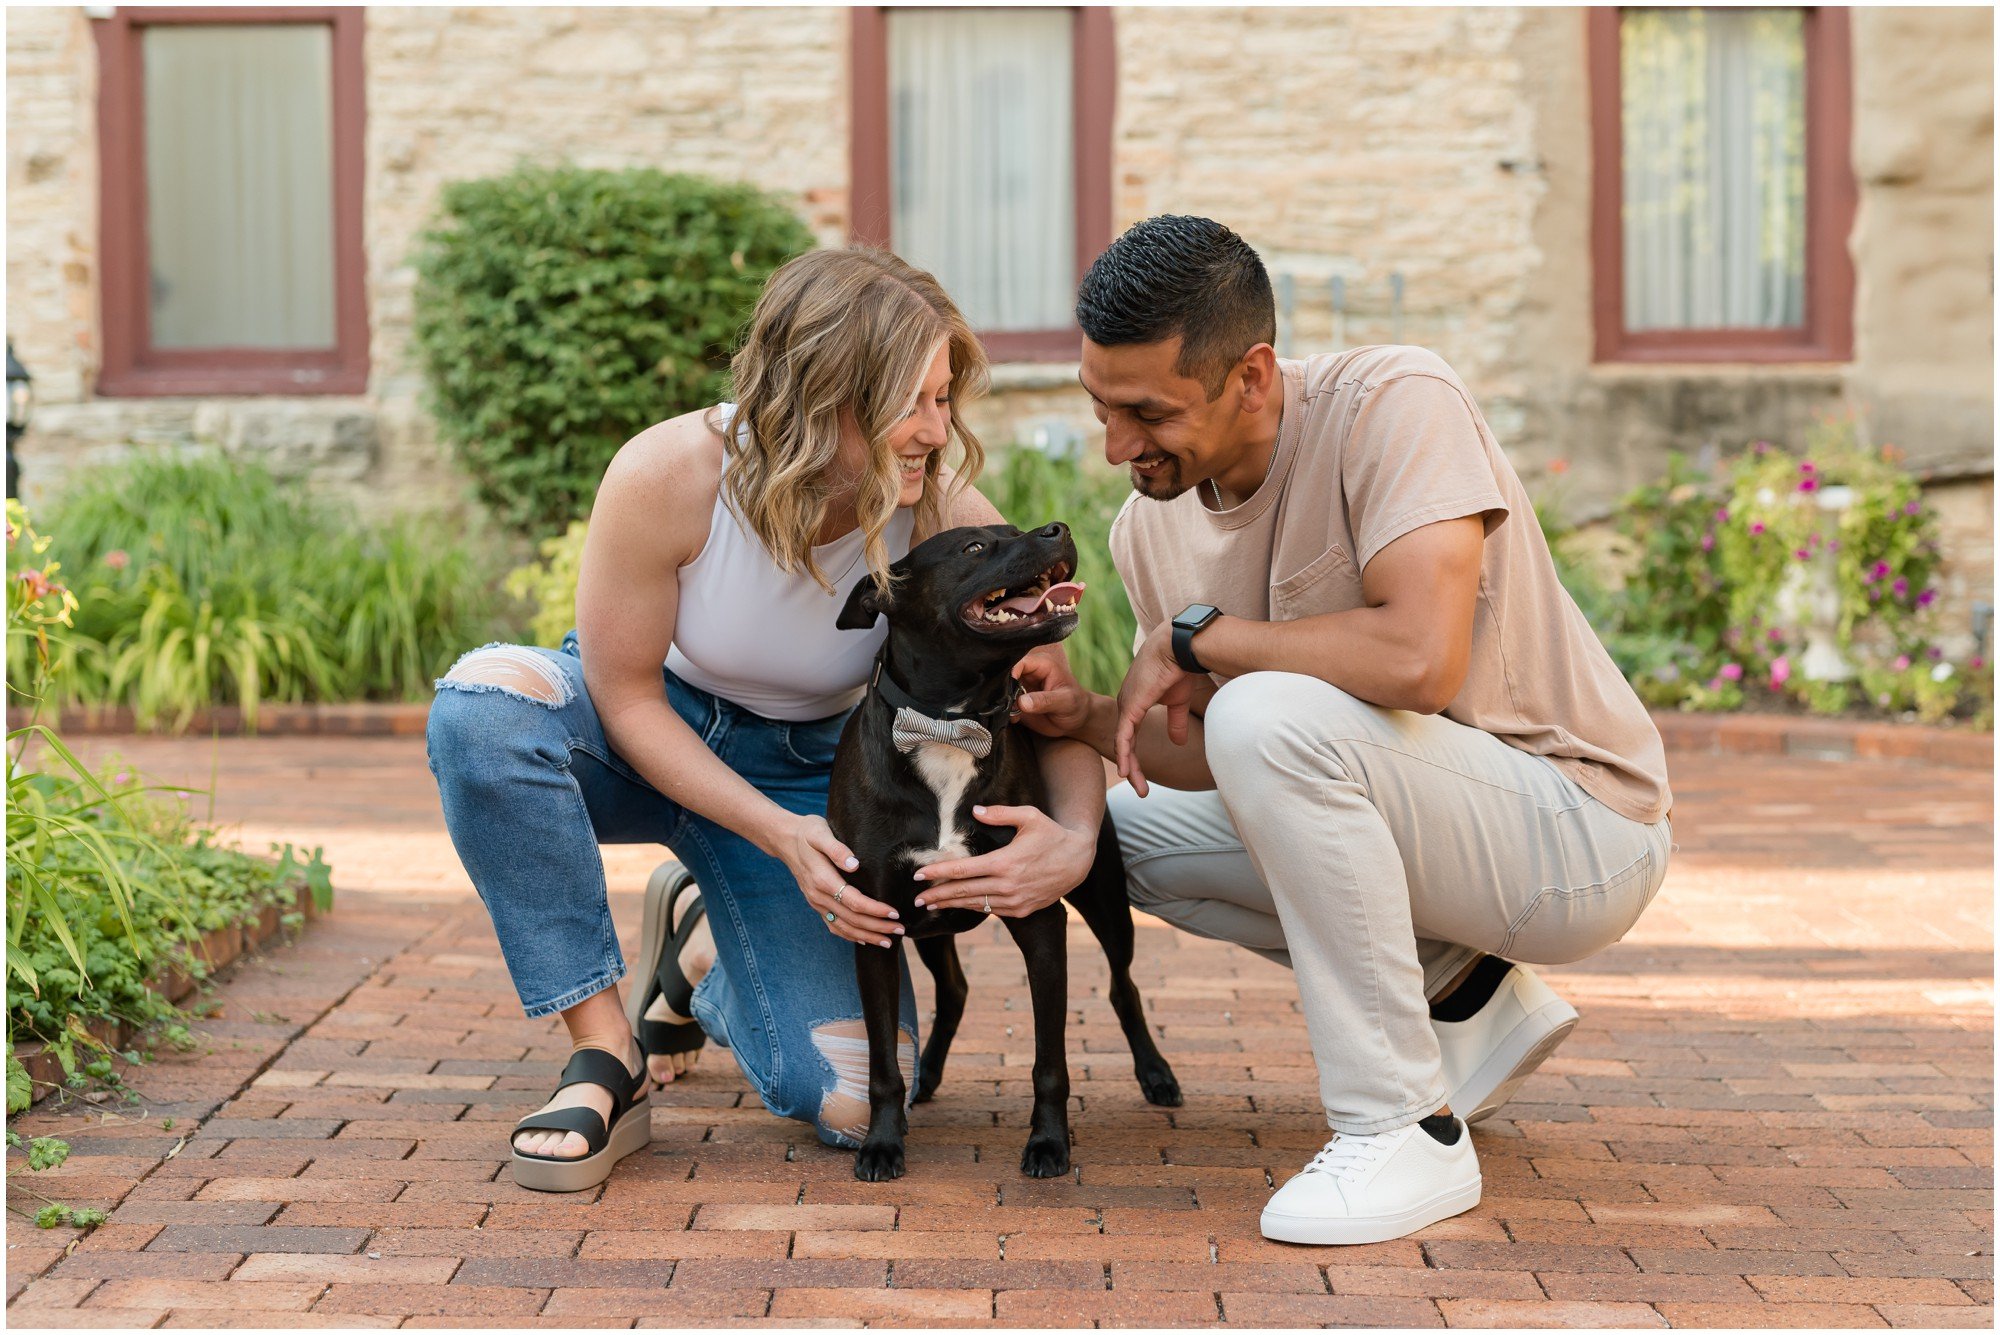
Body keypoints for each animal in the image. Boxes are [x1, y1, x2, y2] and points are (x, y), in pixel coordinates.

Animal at [832, 519, 1184, 1175]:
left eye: (1015, 530)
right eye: (973, 547)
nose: (1057, 528)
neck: (948, 727)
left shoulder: (1041, 919)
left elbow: (1050, 1065)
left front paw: (1048, 1143)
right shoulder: (875, 927)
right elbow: (882, 1064)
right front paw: (882, 1142)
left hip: (1105, 902)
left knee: (1122, 986)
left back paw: (1155, 1074)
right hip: (931, 925)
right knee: (955, 991)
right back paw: (928, 1076)